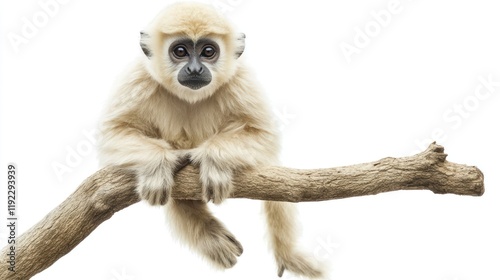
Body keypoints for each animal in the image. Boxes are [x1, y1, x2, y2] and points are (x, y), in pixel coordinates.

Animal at [97, 2, 324, 278]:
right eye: (180, 51)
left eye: (208, 51)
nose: (195, 69)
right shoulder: (138, 77)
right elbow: (114, 132)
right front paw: (157, 167)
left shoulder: (240, 79)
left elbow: (263, 135)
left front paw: (213, 162)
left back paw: (286, 254)